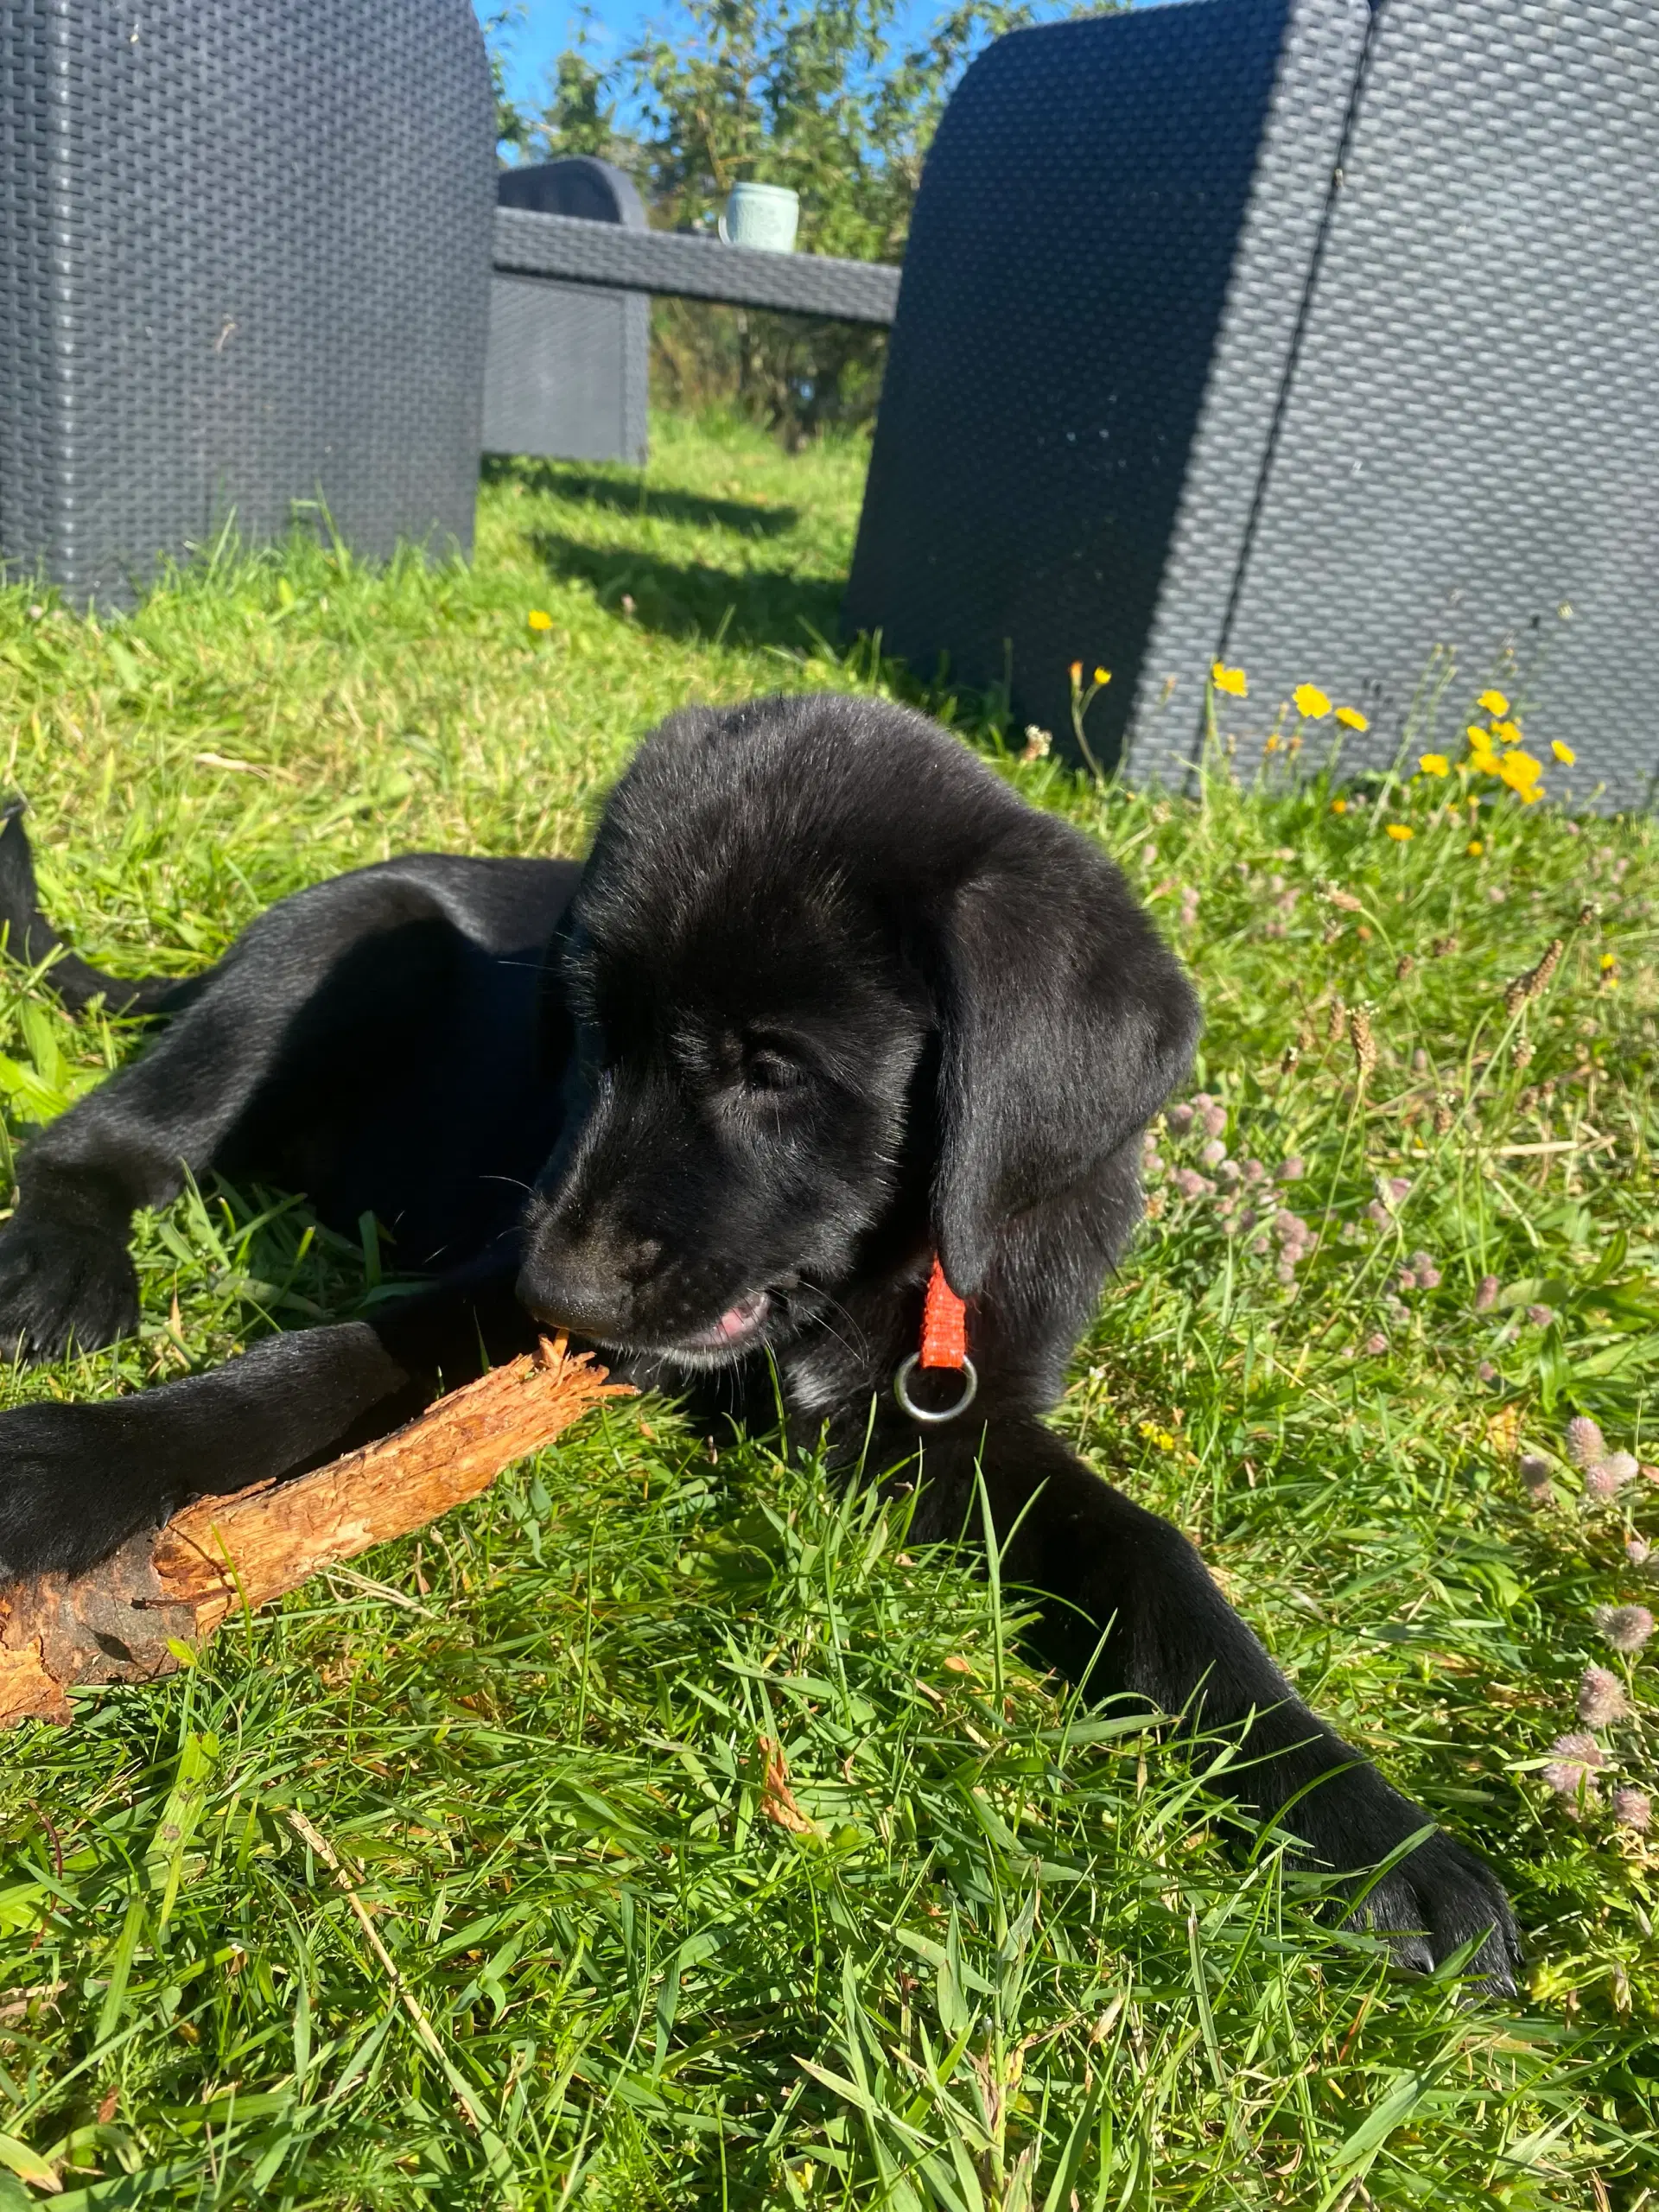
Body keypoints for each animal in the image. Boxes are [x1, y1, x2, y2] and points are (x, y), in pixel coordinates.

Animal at [0, 694, 1522, 1991]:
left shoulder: (953, 1416)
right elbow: (312, 1365)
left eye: (776, 1066)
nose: (562, 1293)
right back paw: (62, 1266)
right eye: (586, 1036)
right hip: (337, 946)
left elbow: (1151, 1558)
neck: (866, 1282)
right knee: (100, 1138)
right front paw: (79, 1464)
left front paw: (1369, 1828)